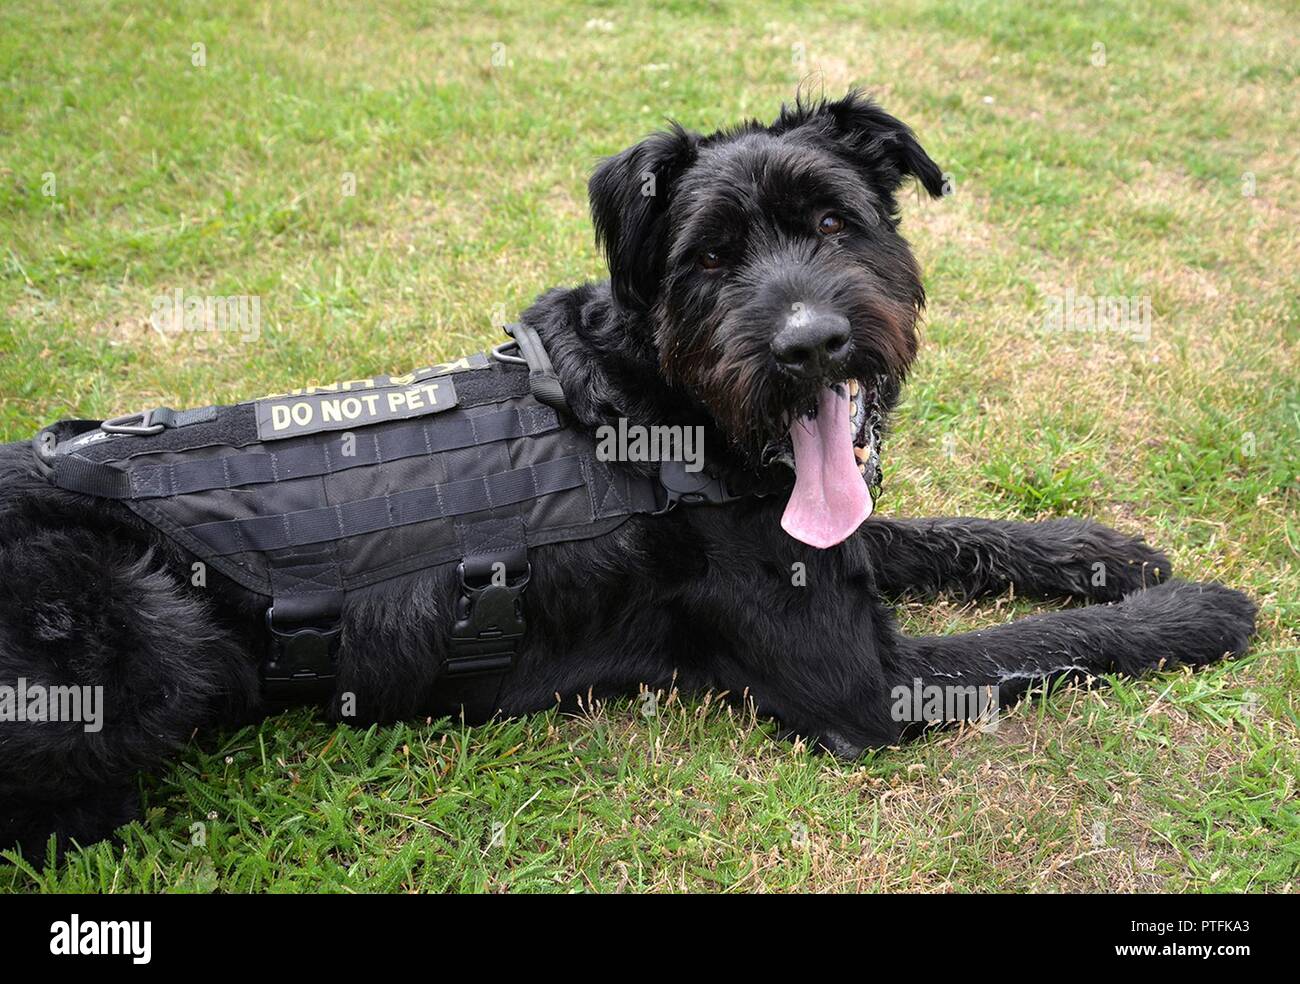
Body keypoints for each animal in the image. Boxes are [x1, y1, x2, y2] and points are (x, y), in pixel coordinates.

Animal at [2, 92, 1258, 852]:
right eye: (709, 257)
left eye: (833, 222)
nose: (811, 346)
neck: (666, 409)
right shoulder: (862, 684)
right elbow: (1044, 644)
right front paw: (1196, 610)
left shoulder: (821, 535)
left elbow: (945, 532)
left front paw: (1099, 549)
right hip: (133, 613)